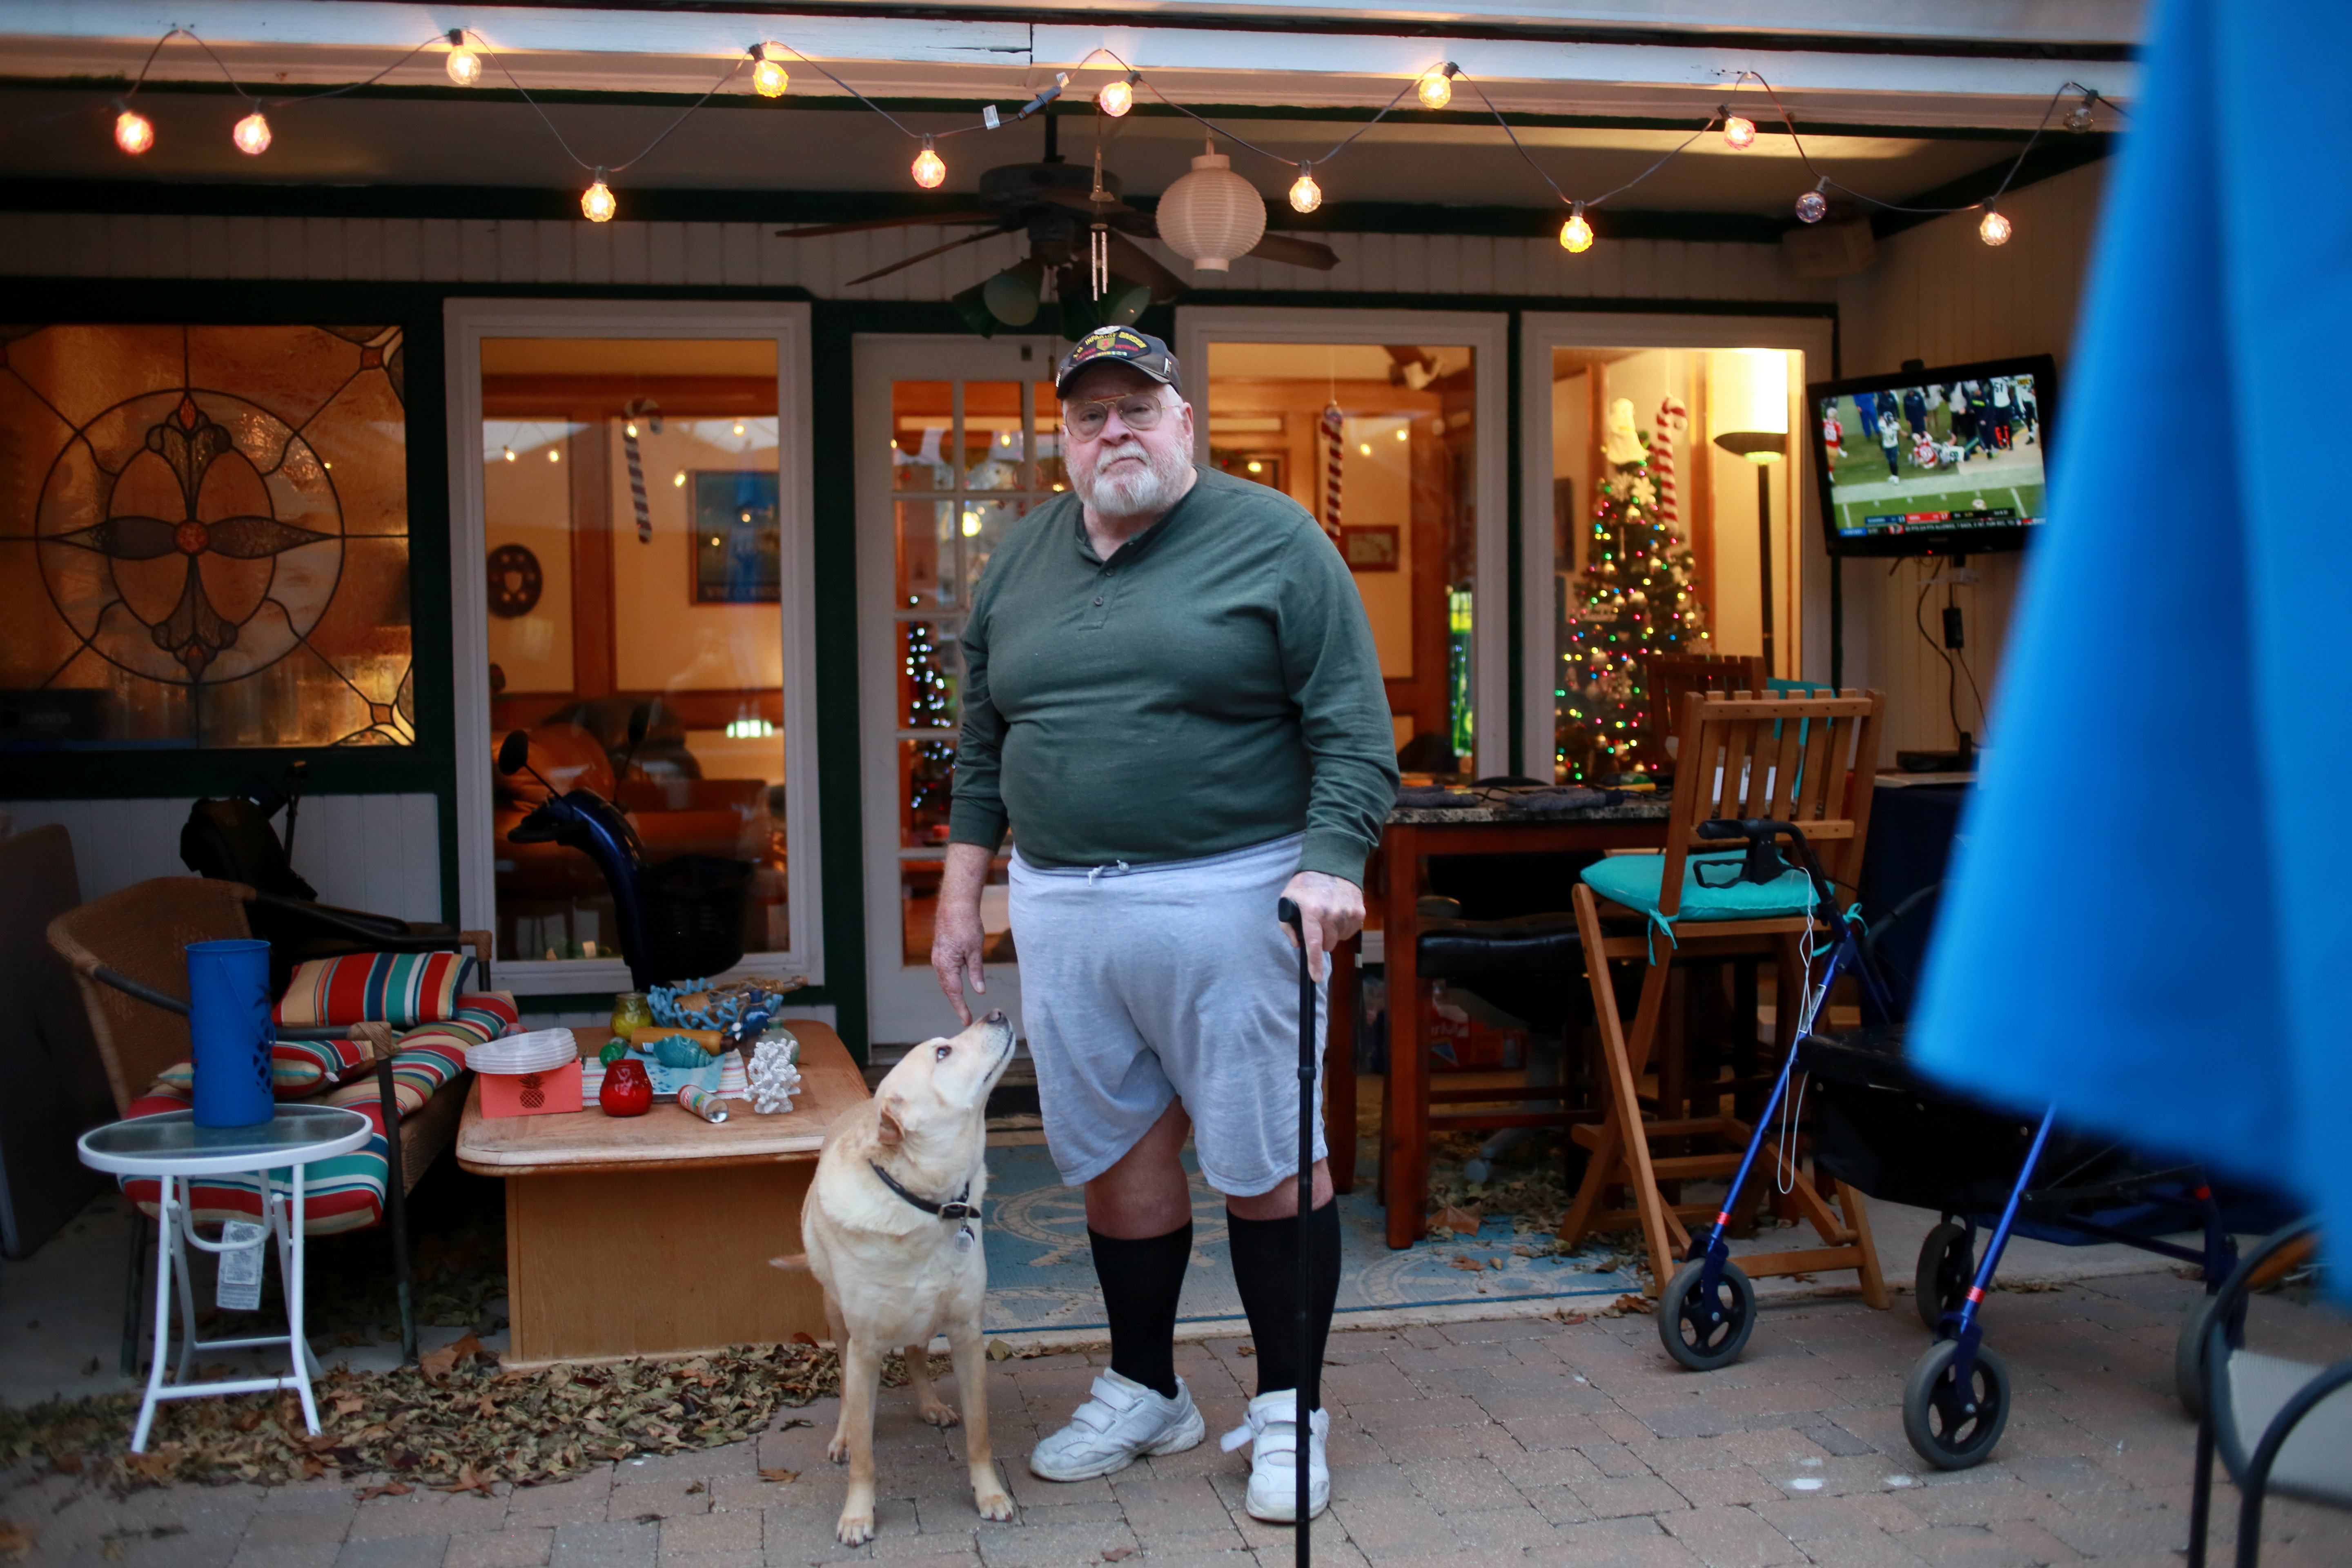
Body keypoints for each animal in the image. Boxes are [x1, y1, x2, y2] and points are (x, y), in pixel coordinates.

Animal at [790, 1010, 1017, 1545]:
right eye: (942, 1052)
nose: (996, 1012)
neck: (927, 1204)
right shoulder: (866, 1344)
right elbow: (865, 1456)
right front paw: (858, 1514)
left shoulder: (966, 1334)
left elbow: (980, 1434)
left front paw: (989, 1494)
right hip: (839, 1320)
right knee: (847, 1387)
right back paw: (843, 1435)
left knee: (915, 1354)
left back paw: (931, 1405)